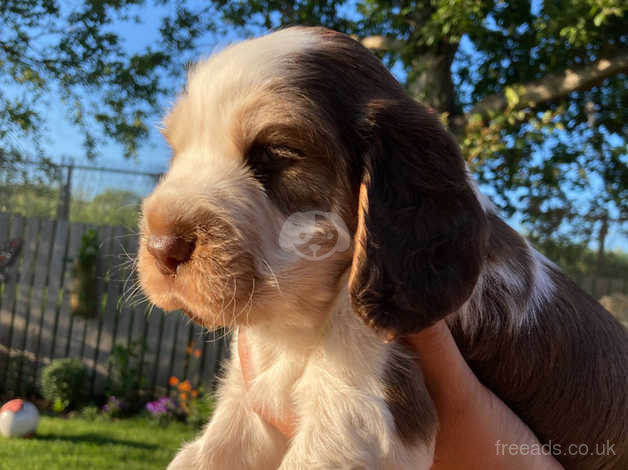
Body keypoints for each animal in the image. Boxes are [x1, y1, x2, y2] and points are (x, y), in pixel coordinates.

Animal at [139, 26, 628, 470]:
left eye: (277, 153)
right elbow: (202, 455)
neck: (295, 325)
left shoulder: (361, 413)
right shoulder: (245, 405)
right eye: (176, 151)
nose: (161, 245)